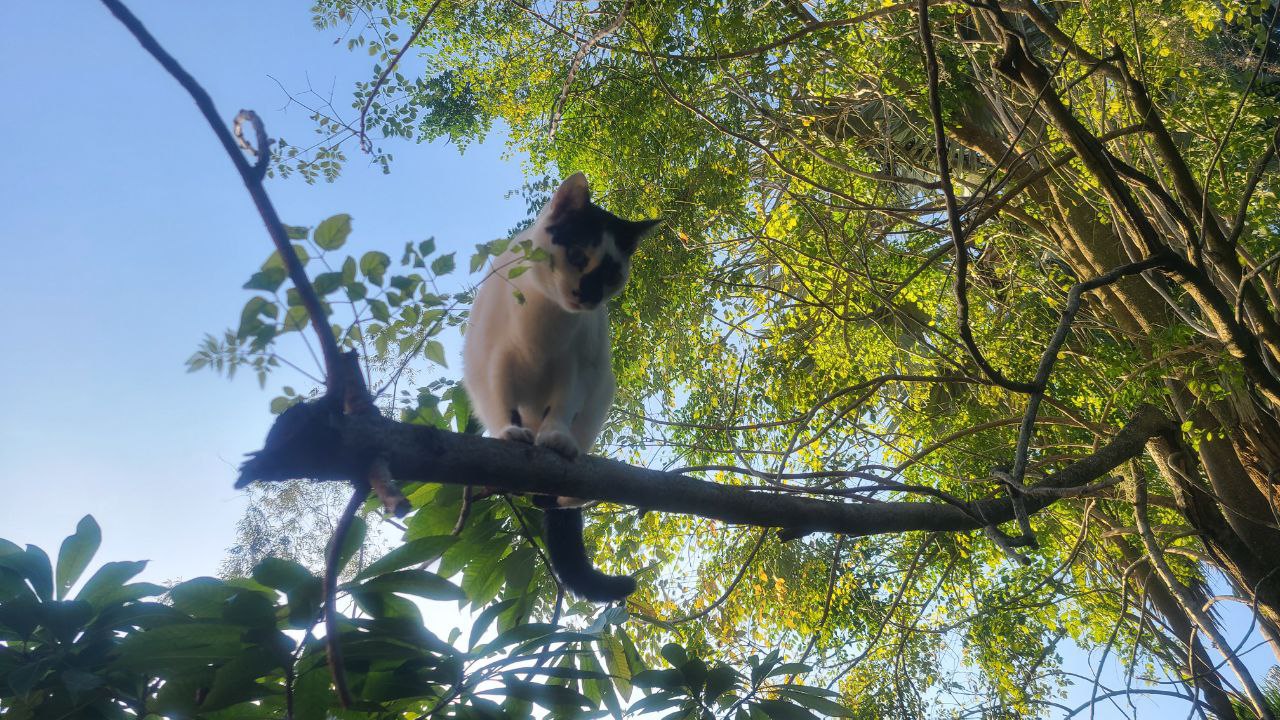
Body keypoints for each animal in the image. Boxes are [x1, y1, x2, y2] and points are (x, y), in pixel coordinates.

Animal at [460, 169, 660, 599]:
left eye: (613, 275)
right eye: (578, 257)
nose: (588, 295)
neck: (544, 323)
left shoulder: (576, 369)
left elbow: (563, 407)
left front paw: (556, 439)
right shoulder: (492, 360)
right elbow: (499, 398)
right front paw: (509, 433)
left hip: (601, 391)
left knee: (557, 495)